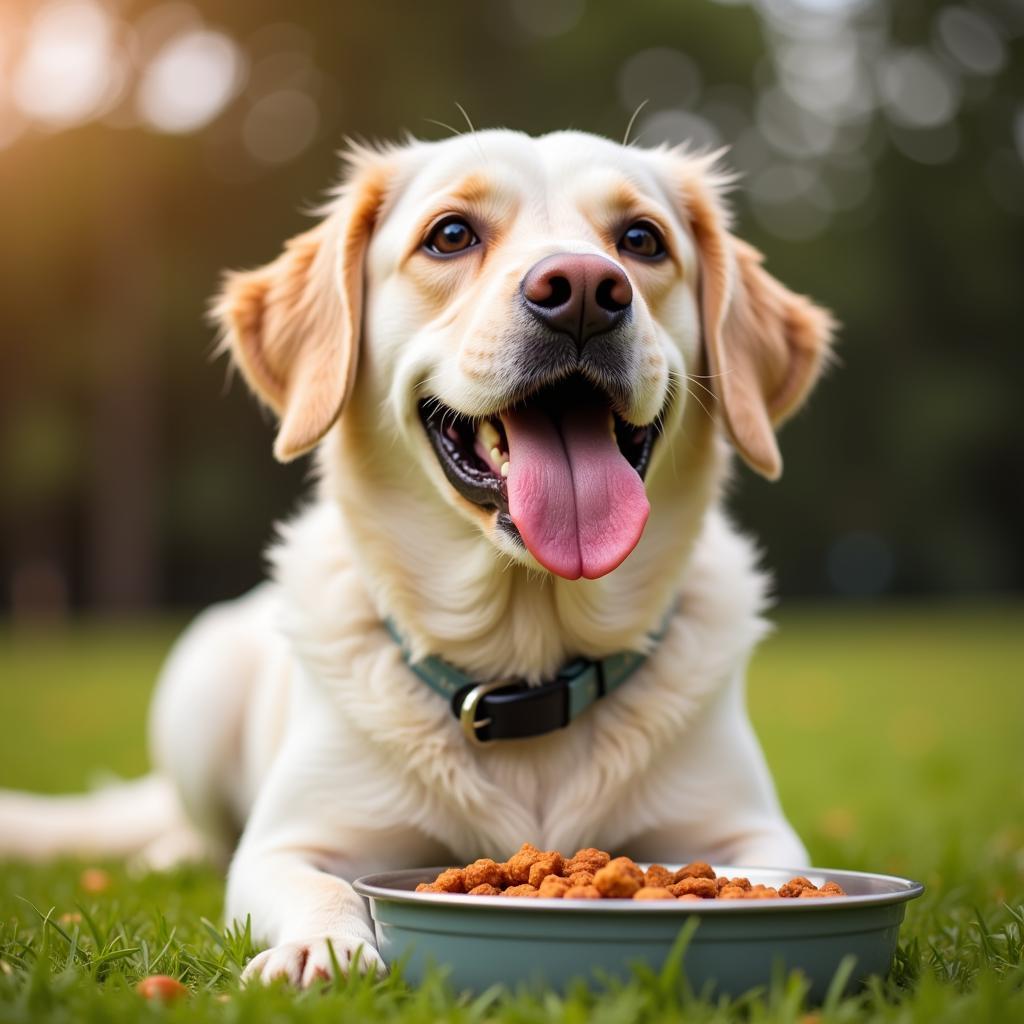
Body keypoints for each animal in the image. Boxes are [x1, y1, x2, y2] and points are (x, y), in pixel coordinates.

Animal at [0, 128, 831, 983]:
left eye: (641, 241)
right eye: (451, 234)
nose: (584, 290)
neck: (524, 667)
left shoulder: (749, 831)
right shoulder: (291, 840)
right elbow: (318, 883)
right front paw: (321, 948)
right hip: (199, 683)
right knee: (191, 824)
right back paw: (165, 853)